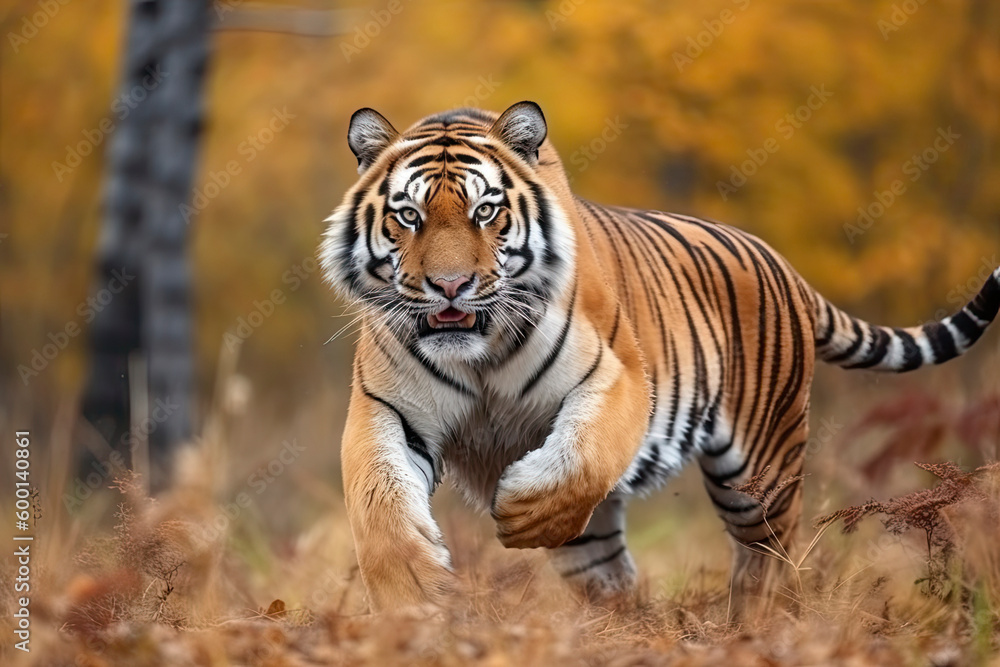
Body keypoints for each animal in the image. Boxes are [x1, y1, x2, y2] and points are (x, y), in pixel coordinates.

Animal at [318, 101, 1000, 612]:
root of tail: (787, 268)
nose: (451, 286)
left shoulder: (617, 377)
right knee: (610, 576)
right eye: (409, 216)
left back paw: (757, 627)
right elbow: (379, 508)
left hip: (761, 472)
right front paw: (415, 598)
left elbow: (581, 460)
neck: (478, 353)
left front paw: (519, 511)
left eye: (486, 211)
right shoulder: (386, 410)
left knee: (768, 558)